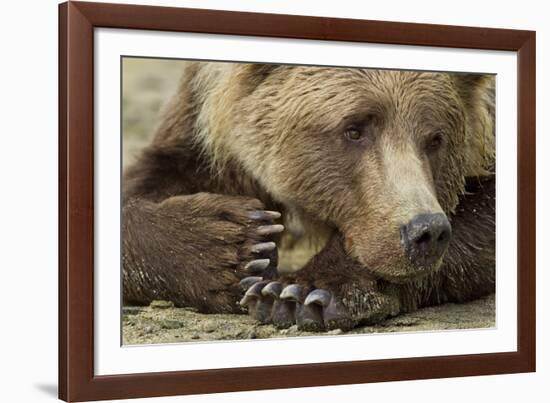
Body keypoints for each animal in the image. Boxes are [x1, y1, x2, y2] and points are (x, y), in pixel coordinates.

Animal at [123, 62, 498, 332]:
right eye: (353, 129)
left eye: (435, 139)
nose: (426, 232)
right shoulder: (200, 122)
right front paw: (234, 244)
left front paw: (300, 293)